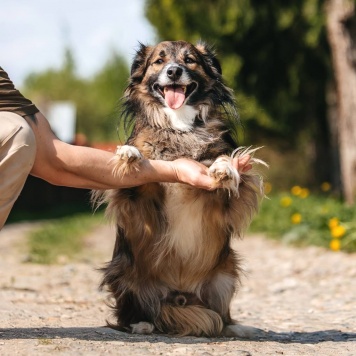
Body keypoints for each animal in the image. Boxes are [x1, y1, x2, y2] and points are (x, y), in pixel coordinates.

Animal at [94, 40, 268, 338]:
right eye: (159, 61)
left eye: (190, 60)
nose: (174, 71)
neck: (179, 127)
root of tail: (179, 298)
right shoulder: (133, 200)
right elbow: (141, 168)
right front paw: (129, 153)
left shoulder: (228, 201)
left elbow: (226, 166)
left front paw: (225, 168)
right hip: (123, 271)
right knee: (137, 312)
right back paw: (141, 323)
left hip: (225, 274)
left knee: (221, 316)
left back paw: (237, 327)